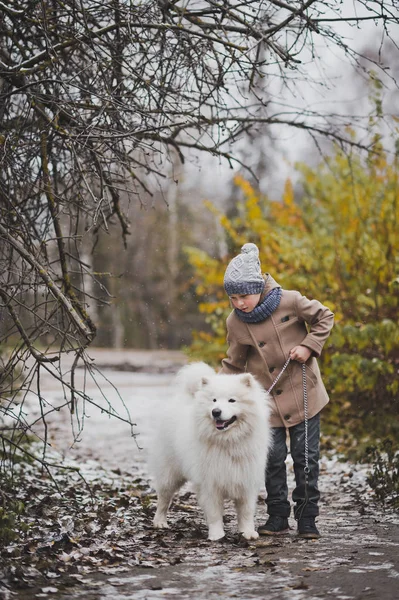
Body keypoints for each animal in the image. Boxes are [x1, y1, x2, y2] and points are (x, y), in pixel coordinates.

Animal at [148, 364, 274, 540]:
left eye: (232, 400)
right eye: (214, 400)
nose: (216, 411)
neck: (228, 441)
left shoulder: (246, 481)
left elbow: (246, 512)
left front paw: (247, 532)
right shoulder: (210, 483)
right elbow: (214, 513)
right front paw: (217, 535)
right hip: (170, 473)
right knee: (164, 499)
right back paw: (159, 522)